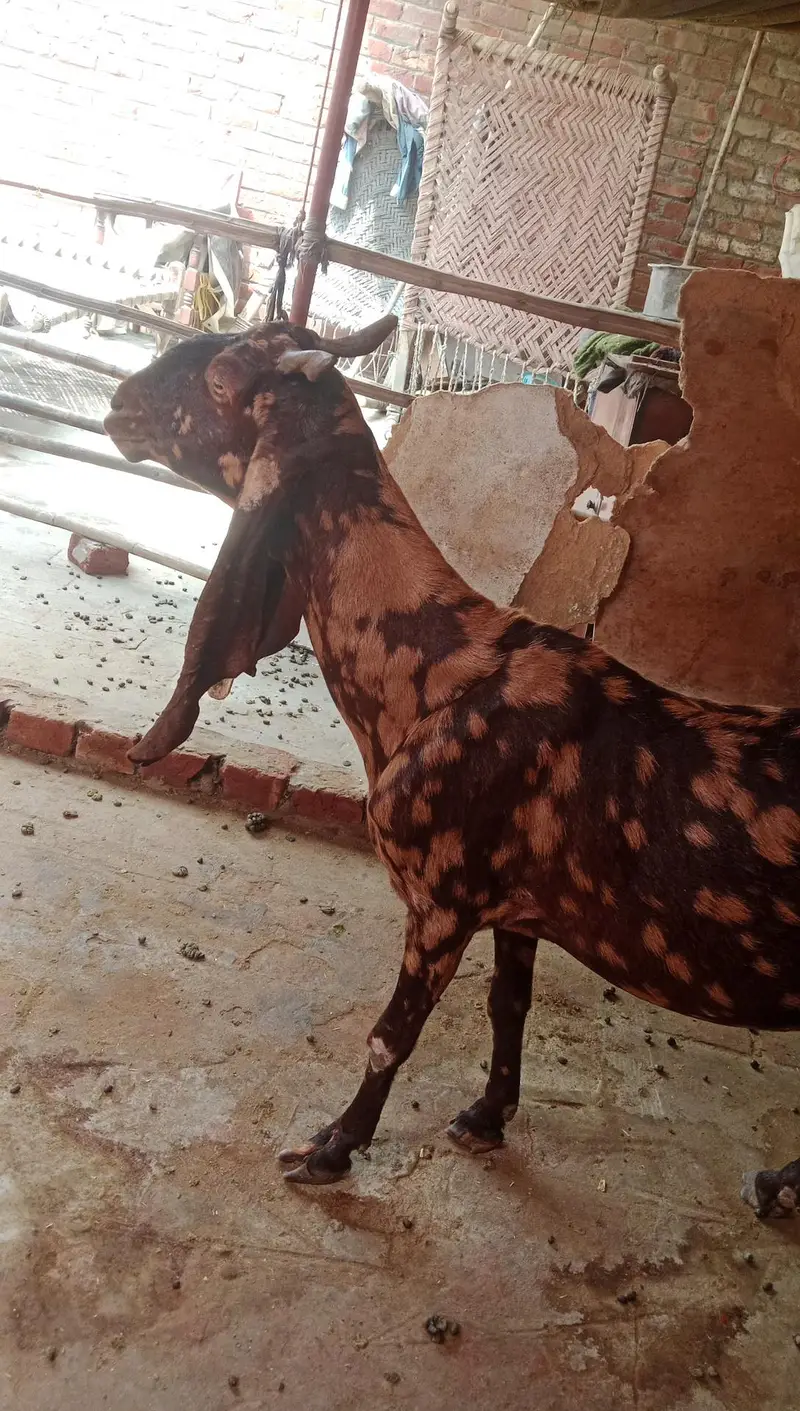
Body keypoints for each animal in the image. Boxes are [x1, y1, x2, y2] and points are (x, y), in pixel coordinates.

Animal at [105, 316, 800, 1214]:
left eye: (222, 379)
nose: (119, 403)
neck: (432, 672)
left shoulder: (443, 895)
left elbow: (389, 1036)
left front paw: (331, 1147)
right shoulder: (515, 904)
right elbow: (510, 1005)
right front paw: (485, 1115)